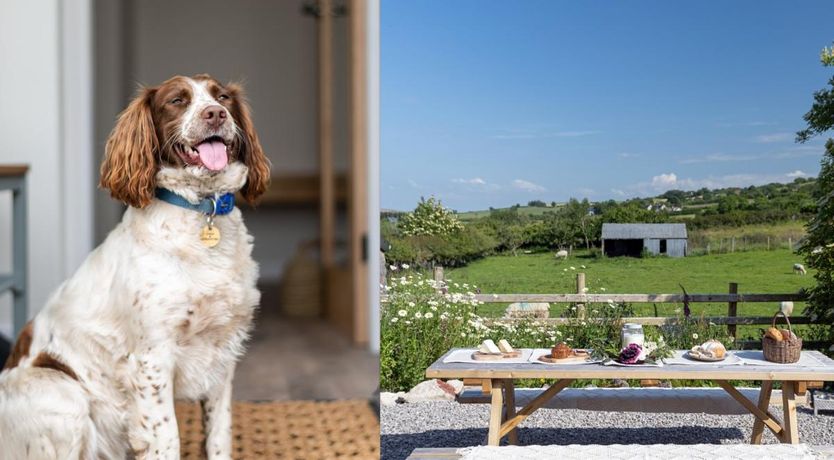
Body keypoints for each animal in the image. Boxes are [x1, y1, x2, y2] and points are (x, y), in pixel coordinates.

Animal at [0, 73, 268, 458]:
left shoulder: (222, 354)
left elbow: (220, 434)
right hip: (63, 396)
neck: (201, 212)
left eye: (223, 98)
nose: (216, 114)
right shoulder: (151, 359)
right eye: (177, 101)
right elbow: (168, 437)